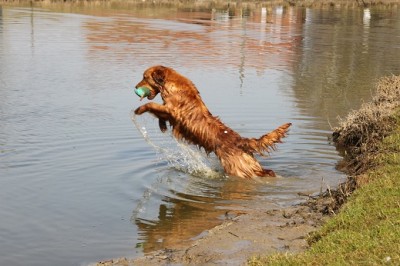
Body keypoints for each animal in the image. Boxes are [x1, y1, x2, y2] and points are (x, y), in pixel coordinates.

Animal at [134, 65, 290, 179]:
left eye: (144, 77)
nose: (135, 87)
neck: (170, 83)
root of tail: (241, 141)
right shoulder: (170, 113)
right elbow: (159, 113)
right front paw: (162, 126)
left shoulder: (173, 110)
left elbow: (152, 105)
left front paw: (139, 109)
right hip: (249, 164)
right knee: (266, 171)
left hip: (236, 168)